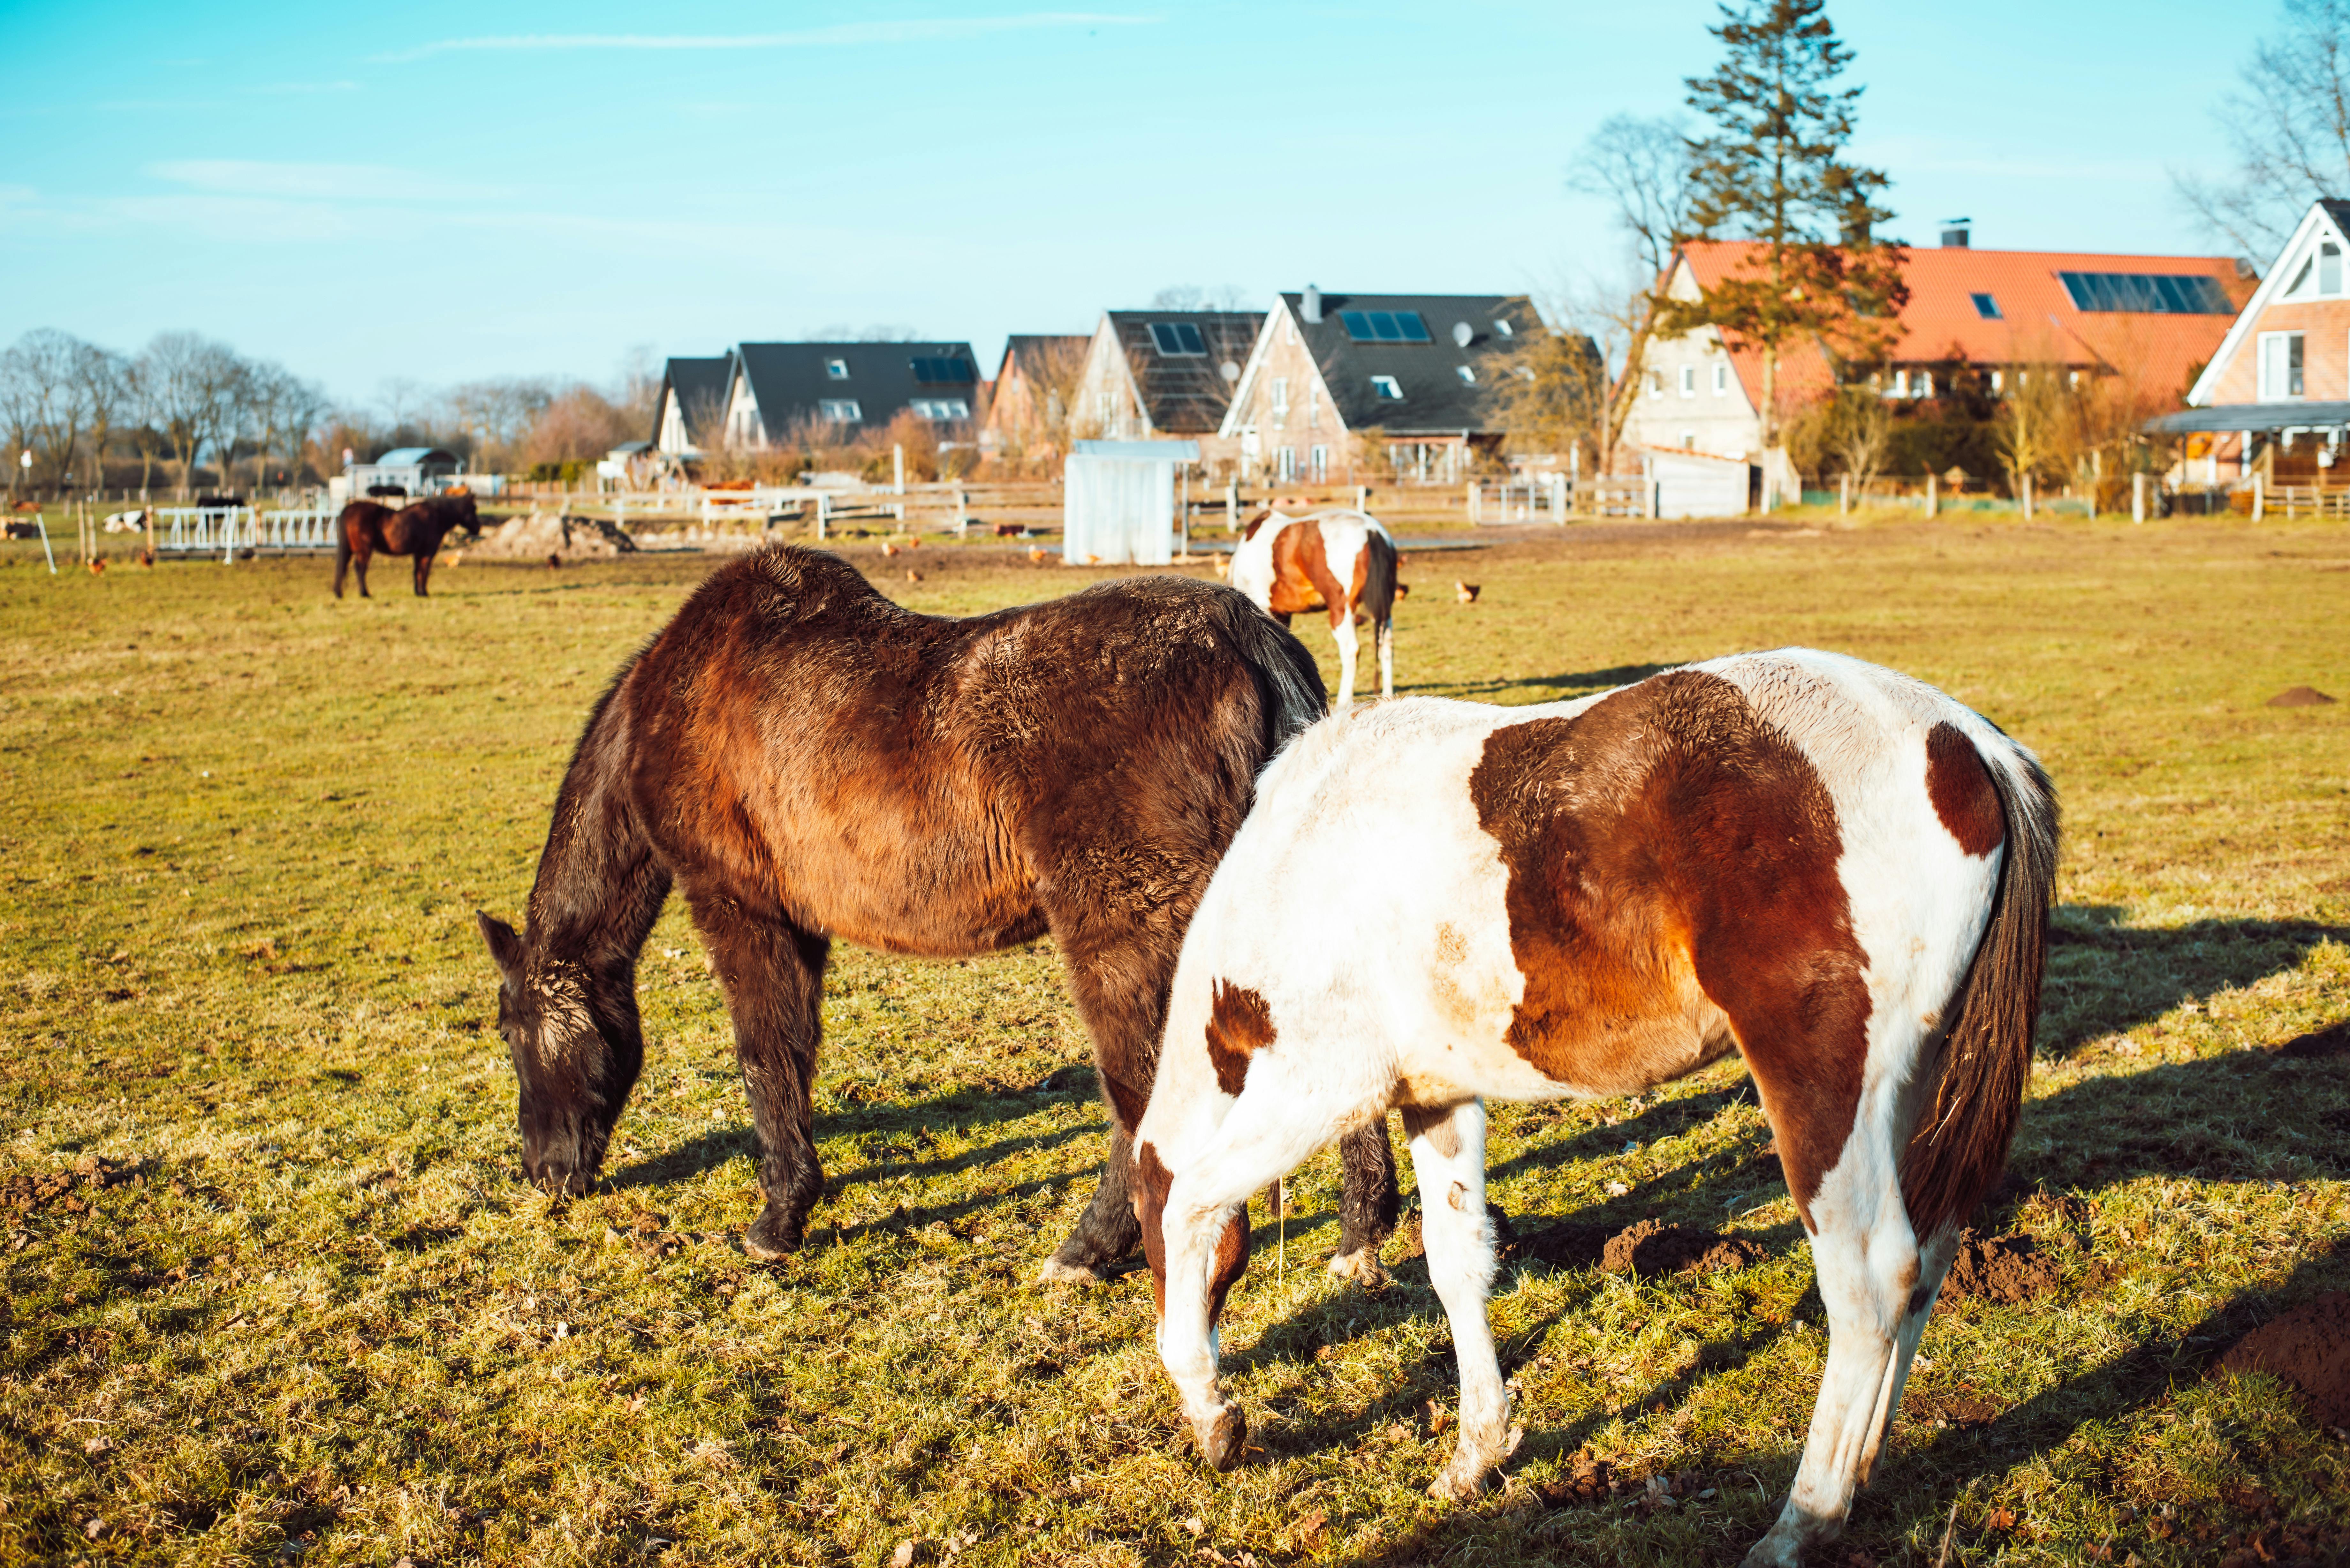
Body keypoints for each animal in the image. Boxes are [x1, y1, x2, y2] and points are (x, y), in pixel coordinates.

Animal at [333, 489, 478, 599]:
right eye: (474, 508)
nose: (478, 528)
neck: (437, 516)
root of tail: (350, 508)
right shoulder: (428, 552)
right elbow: (424, 570)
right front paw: (424, 593)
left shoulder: (419, 552)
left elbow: (417, 571)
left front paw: (418, 592)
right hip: (364, 550)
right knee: (360, 569)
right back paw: (365, 593)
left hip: (351, 550)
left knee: (344, 567)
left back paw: (340, 593)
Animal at [476, 545, 1402, 1282]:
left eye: (515, 1033)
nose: (543, 1174)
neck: (685, 692)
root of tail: (1250, 642)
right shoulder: (798, 928)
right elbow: (795, 1054)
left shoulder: (742, 912)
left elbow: (765, 1057)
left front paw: (778, 1221)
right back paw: (1360, 1232)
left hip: (1126, 943)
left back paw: (1095, 1251)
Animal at [1129, 650, 2057, 1567]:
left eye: (1147, 1258)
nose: (1205, 1436)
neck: (1295, 864)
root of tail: (1966, 741)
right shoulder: (1438, 1096)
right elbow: (1456, 1262)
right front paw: (1476, 1454)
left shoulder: (1319, 1087)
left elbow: (1192, 1201)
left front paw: (1212, 1414)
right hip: (1912, 1087)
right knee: (1929, 1257)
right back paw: (1862, 1470)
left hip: (1821, 1087)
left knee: (1871, 1278)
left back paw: (1805, 1517)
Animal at [1226, 508, 1398, 708]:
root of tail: (1372, 532)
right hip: (1384, 610)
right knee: (1387, 646)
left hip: (1342, 612)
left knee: (1351, 650)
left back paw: (1344, 703)